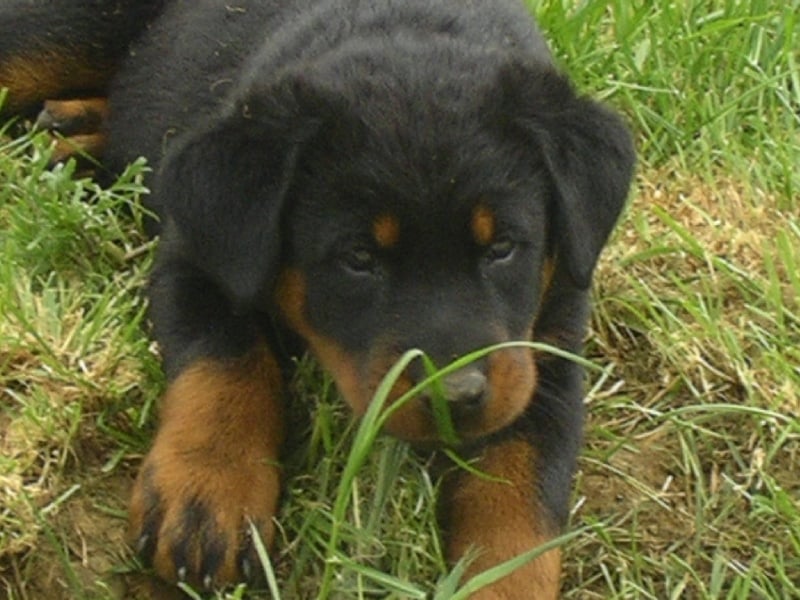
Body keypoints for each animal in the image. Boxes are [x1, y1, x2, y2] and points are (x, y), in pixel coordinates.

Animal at [0, 0, 636, 596]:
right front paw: (210, 490)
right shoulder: (201, 254)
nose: (453, 396)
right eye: (358, 258)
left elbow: (524, 492)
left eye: (502, 247)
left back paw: (78, 132)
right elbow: (226, 362)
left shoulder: (547, 342)